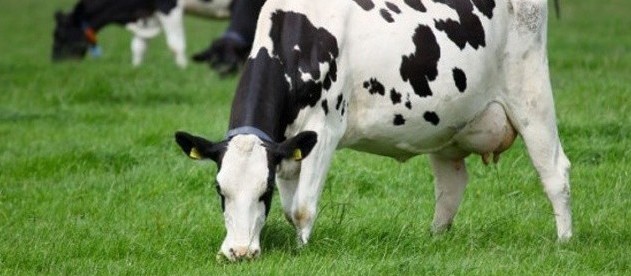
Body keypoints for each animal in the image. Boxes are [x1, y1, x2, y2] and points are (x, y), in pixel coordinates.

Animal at [52, 0, 193, 67]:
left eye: (60, 35)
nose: (55, 63)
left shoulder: (168, 6)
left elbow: (175, 45)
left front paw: (182, 69)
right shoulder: (147, 17)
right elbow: (138, 46)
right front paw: (136, 68)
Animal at [175, 0, 576, 260]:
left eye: (264, 190)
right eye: (220, 190)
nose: (239, 252)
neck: (301, 39)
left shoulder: (324, 130)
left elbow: (302, 208)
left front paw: (301, 253)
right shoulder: (288, 147)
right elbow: (290, 209)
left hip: (530, 90)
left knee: (554, 172)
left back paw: (564, 242)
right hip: (448, 122)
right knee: (451, 187)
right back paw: (434, 240)